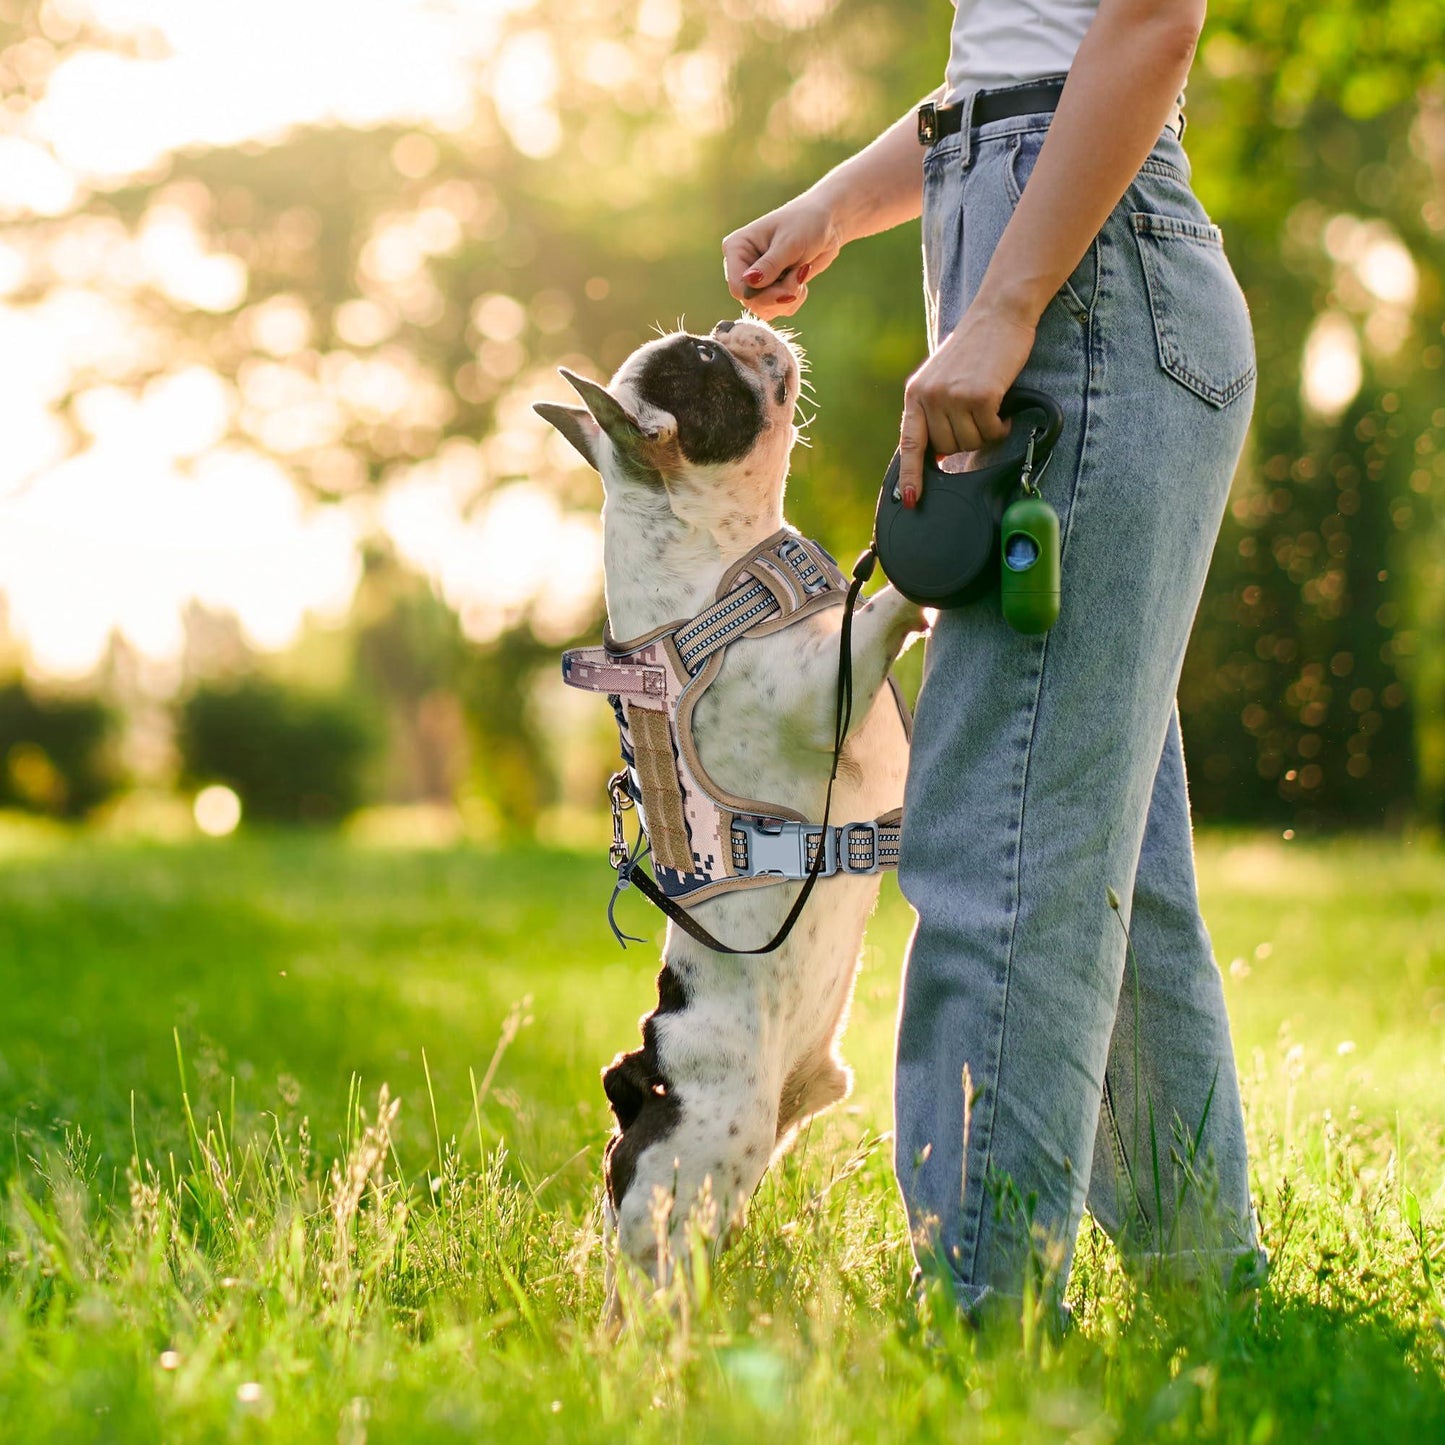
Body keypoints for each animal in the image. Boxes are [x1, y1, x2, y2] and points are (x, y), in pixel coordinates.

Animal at [537, 319, 919, 1288]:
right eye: (706, 363)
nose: (734, 323)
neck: (719, 569)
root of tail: (638, 1080)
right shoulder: (821, 693)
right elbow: (873, 612)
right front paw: (911, 580)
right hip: (703, 1156)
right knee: (647, 1274)